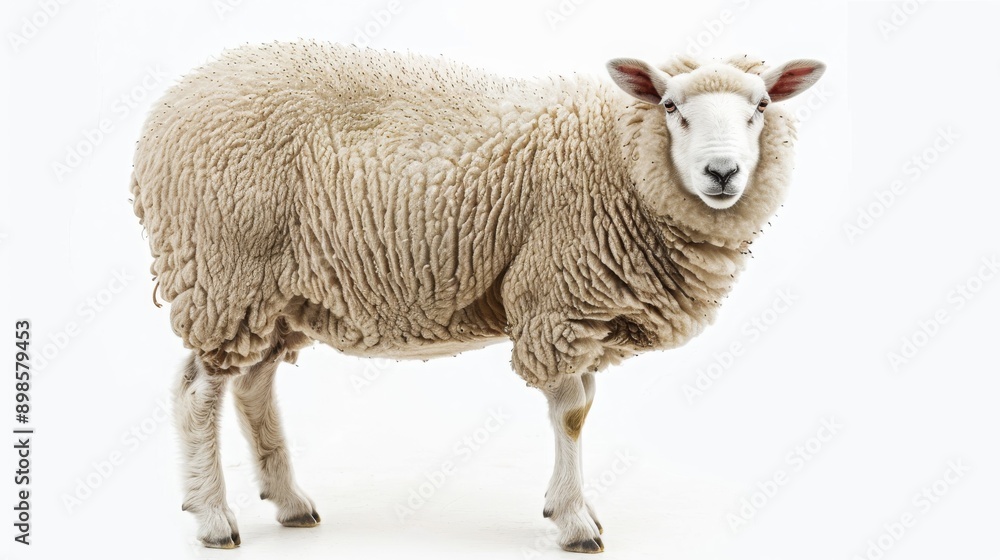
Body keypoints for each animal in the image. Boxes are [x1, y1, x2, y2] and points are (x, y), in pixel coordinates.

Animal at [130, 41, 825, 552]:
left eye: (761, 105)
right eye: (673, 107)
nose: (722, 173)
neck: (617, 158)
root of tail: (169, 106)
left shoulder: (581, 309)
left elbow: (583, 405)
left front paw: (569, 503)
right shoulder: (555, 299)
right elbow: (572, 413)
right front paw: (575, 522)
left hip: (276, 292)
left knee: (253, 385)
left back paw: (291, 503)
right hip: (223, 272)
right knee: (198, 393)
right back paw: (214, 518)